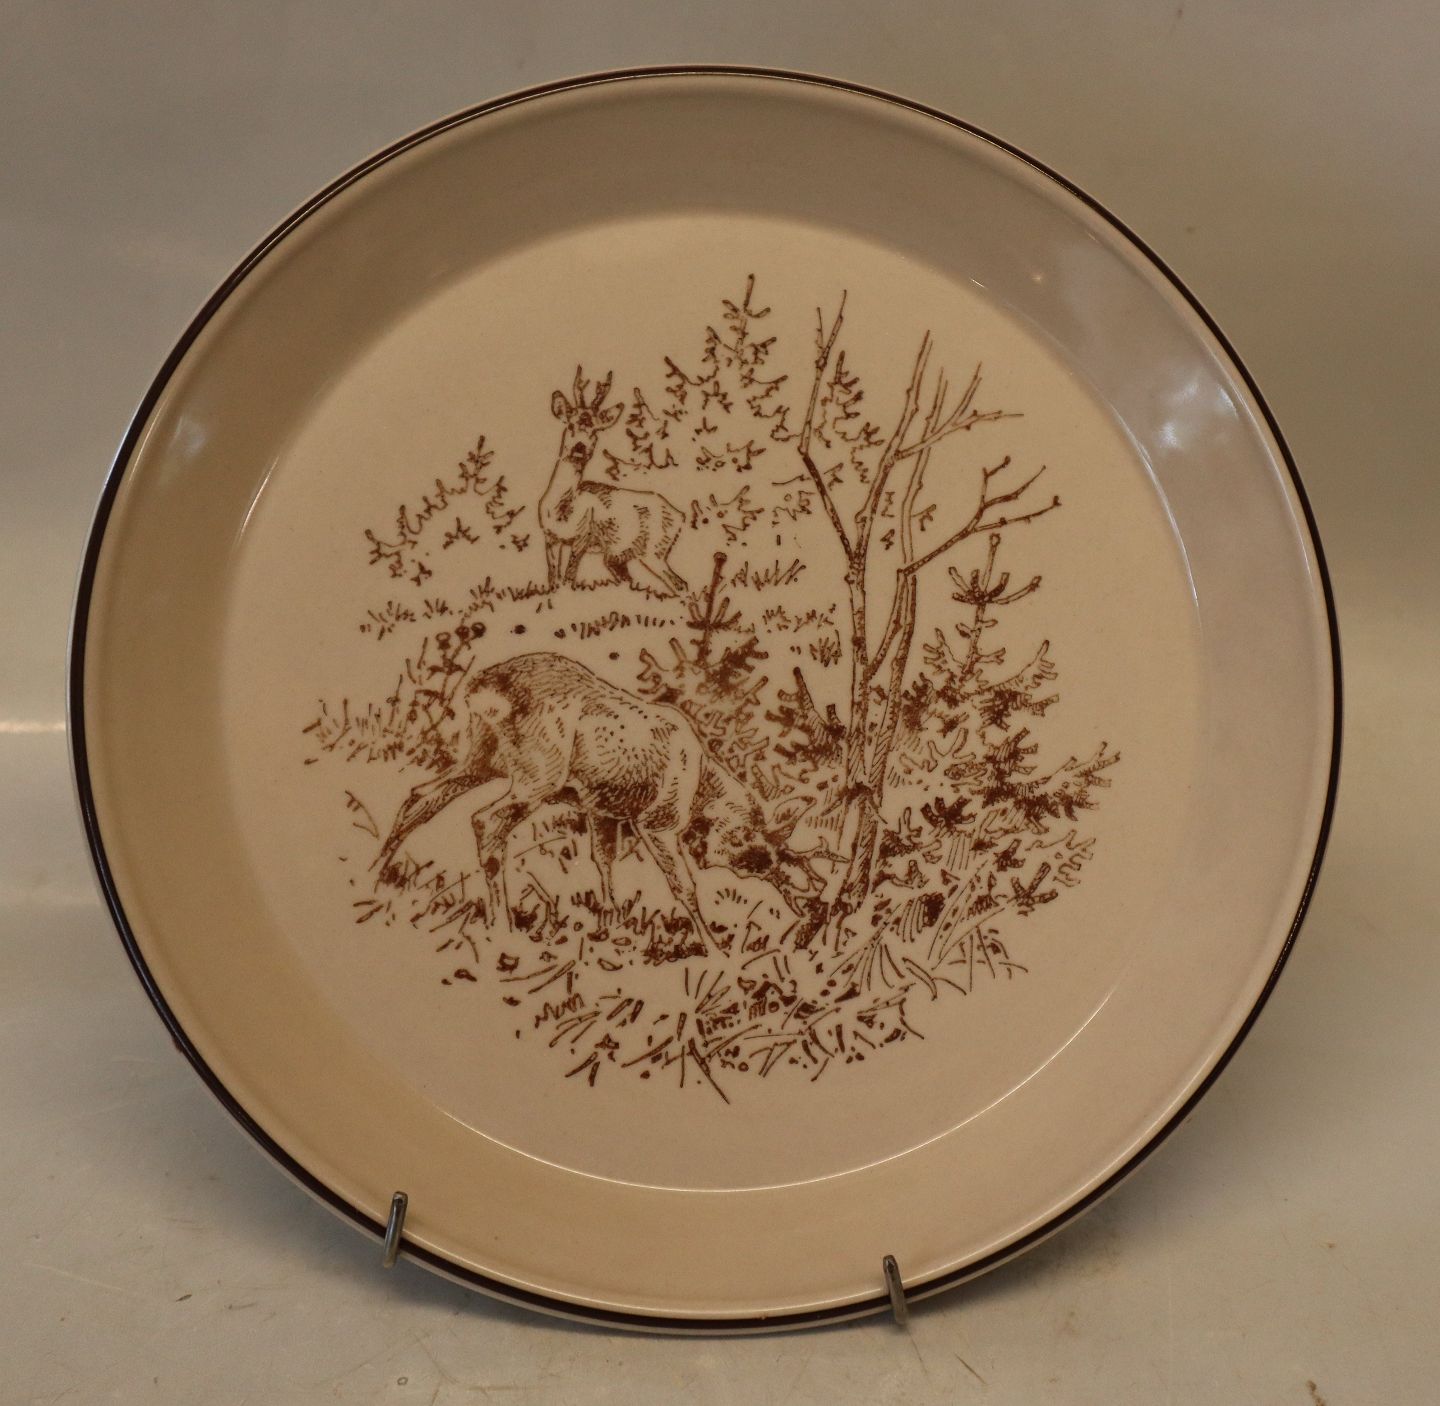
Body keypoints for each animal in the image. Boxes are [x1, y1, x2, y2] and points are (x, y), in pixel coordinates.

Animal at [375, 653, 826, 951]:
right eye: (761, 852)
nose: (810, 892)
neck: (703, 786)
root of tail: (478, 692)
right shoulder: (656, 821)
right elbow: (683, 885)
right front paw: (715, 949)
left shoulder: (601, 810)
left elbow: (604, 860)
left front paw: (608, 922)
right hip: (538, 773)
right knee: (485, 819)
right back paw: (502, 925)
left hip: (481, 757)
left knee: (420, 796)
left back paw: (378, 873)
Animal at [539, 368, 688, 596]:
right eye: (571, 425)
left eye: (595, 431)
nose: (580, 448)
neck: (562, 513)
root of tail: (681, 516)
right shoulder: (549, 537)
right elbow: (553, 581)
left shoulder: (582, 538)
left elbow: (569, 577)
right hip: (618, 557)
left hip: (655, 550)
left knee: (679, 584)